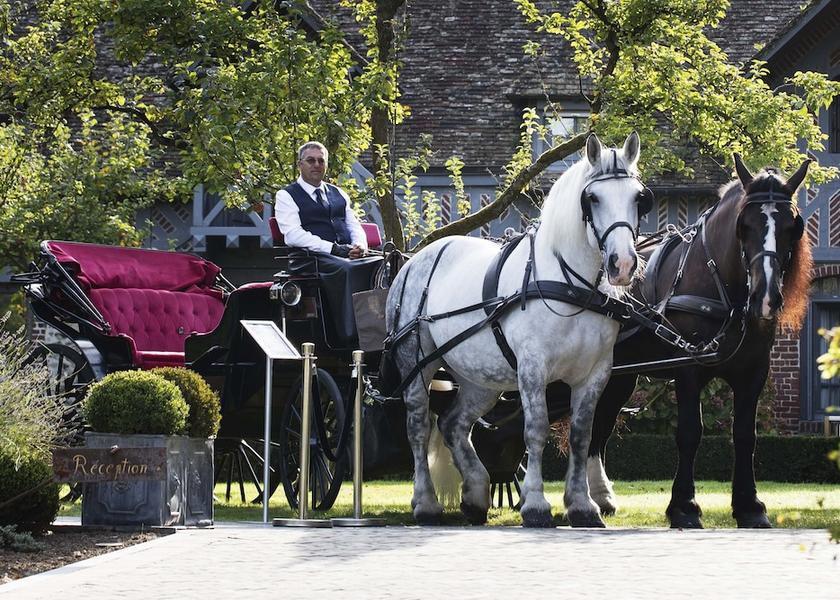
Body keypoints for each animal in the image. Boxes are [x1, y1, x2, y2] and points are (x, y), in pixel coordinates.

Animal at [383, 132, 653, 527]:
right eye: (593, 198)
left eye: (638, 197)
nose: (623, 264)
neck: (569, 285)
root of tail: (412, 260)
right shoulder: (532, 368)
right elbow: (536, 430)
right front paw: (537, 504)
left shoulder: (595, 374)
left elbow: (581, 436)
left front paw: (582, 505)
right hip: (415, 364)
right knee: (418, 428)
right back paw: (426, 503)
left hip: (480, 380)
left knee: (453, 424)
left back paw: (476, 494)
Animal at [585, 154, 812, 528]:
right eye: (744, 225)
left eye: (792, 227)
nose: (766, 298)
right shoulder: (688, 369)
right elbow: (690, 432)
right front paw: (684, 506)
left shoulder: (754, 372)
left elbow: (745, 435)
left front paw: (750, 506)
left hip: (620, 375)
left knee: (599, 423)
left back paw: (599, 497)